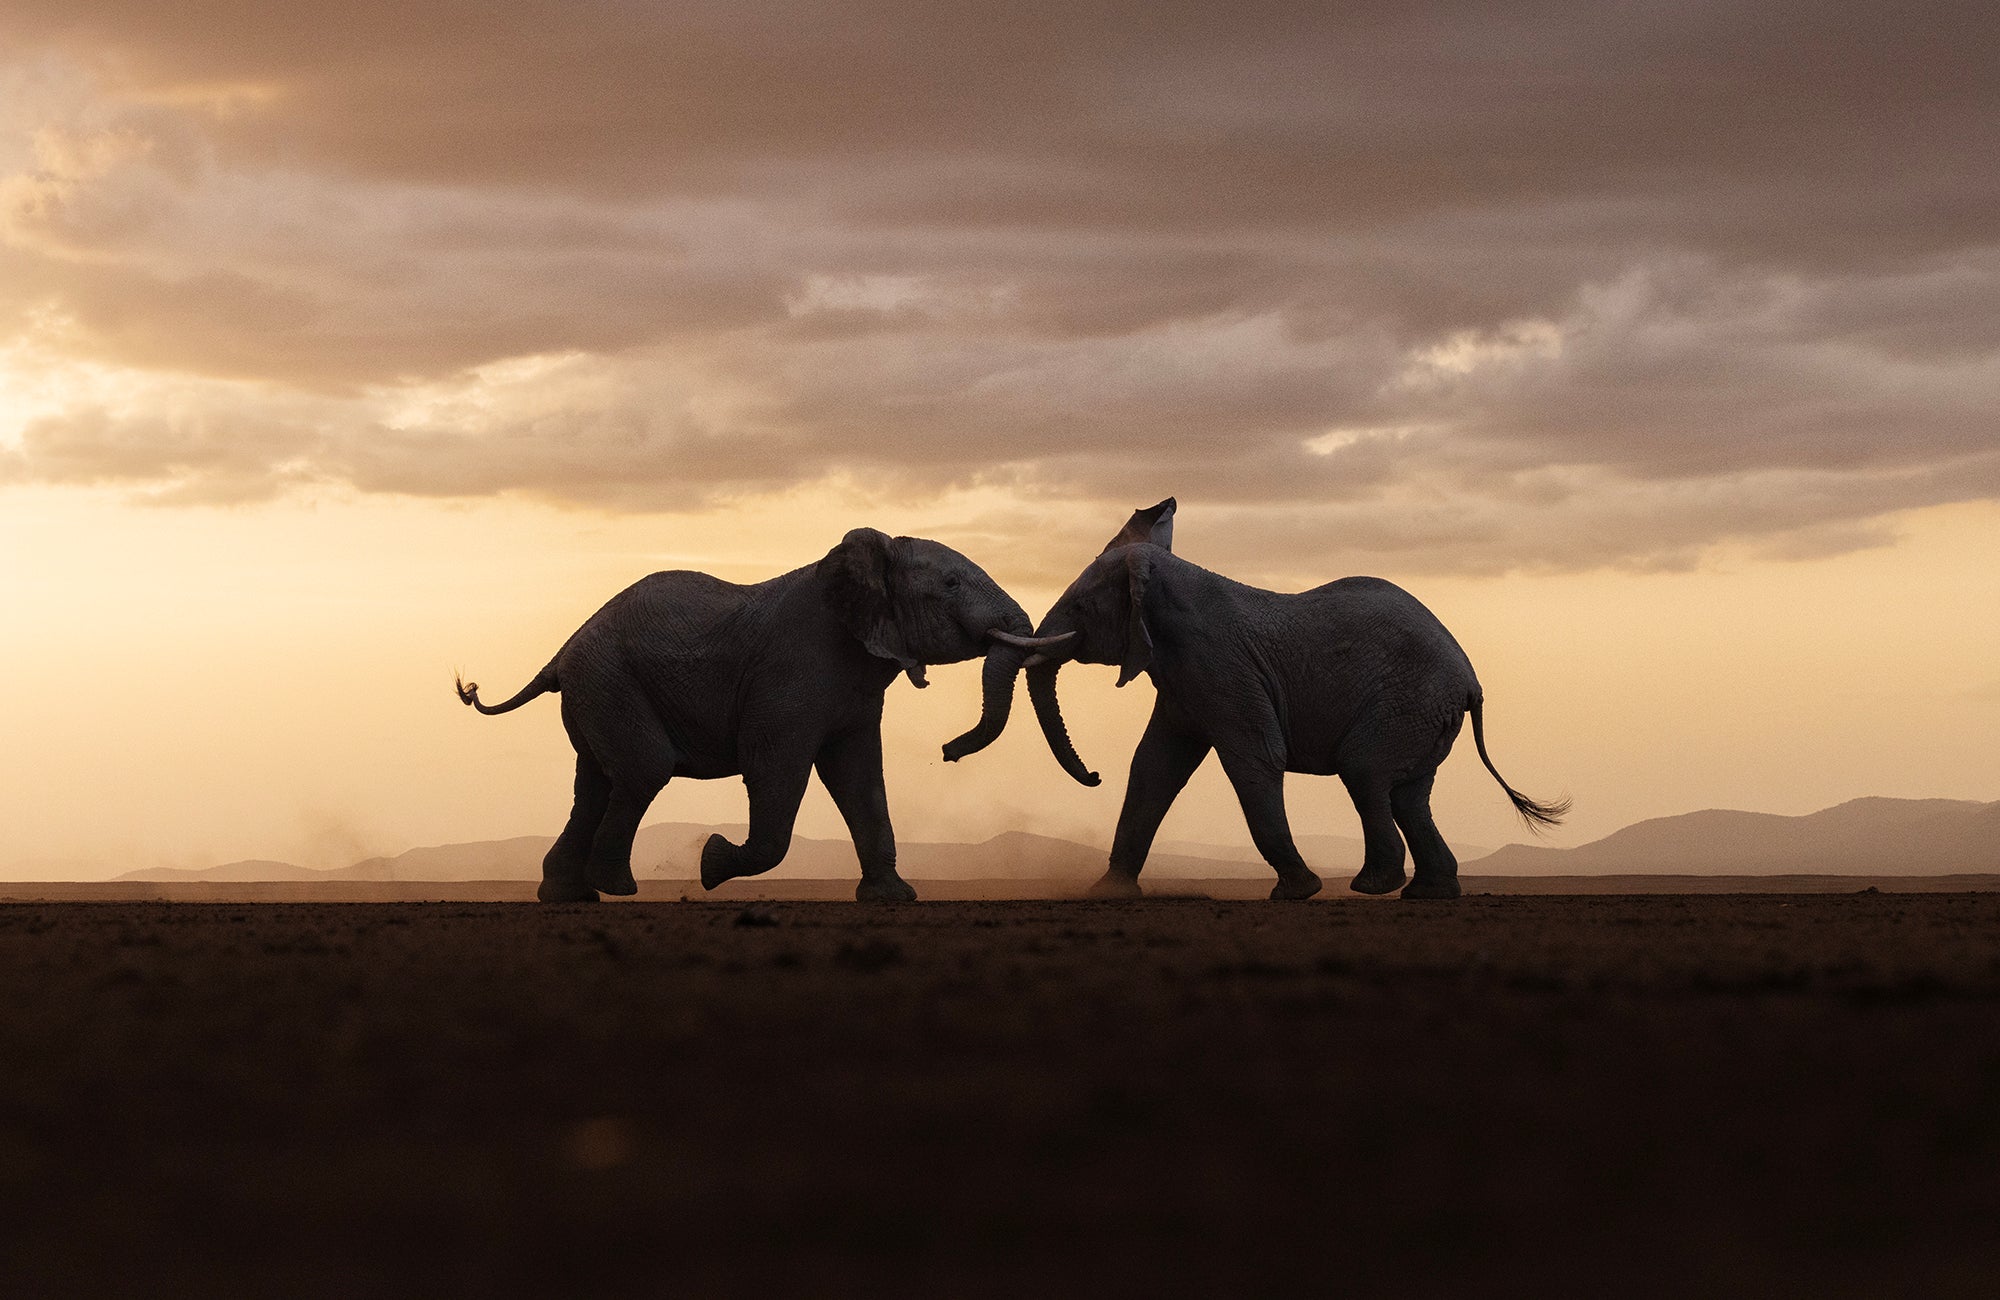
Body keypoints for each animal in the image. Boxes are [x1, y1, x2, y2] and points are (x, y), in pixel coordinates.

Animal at [455, 528, 1067, 903]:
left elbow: (859, 775)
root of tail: (561, 652)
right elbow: (777, 764)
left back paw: (572, 894)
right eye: (951, 584)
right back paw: (618, 887)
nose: (948, 751)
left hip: (597, 692)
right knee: (642, 771)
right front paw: (710, 862)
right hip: (611, 683)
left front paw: (895, 899)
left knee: (596, 785)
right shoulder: (792, 669)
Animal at [950, 498, 1565, 901]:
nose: (1093, 776)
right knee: (1409, 793)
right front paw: (1107, 894)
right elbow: (1155, 766)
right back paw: (1427, 894)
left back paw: (1372, 887)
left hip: (1408, 702)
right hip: (1424, 713)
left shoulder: (1219, 665)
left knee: (1366, 772)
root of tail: (1471, 681)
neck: (1167, 577)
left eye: (1079, 608)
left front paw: (1297, 892)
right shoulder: (1183, 677)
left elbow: (1253, 758)